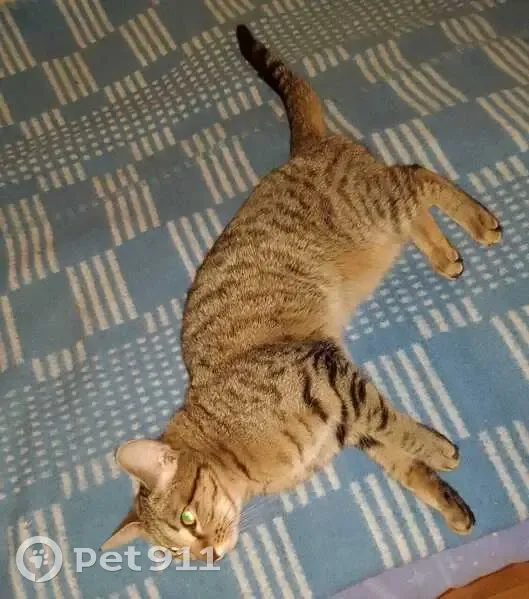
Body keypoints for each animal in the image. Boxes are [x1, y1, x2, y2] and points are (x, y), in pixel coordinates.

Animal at [101, 25, 501, 561]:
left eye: (187, 519)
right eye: (173, 553)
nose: (206, 555)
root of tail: (301, 150)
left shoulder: (330, 380)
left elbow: (396, 426)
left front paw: (439, 449)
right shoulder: (345, 418)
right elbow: (399, 459)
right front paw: (446, 499)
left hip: (374, 203)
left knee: (416, 174)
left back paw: (480, 221)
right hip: (381, 221)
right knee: (412, 206)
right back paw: (444, 253)